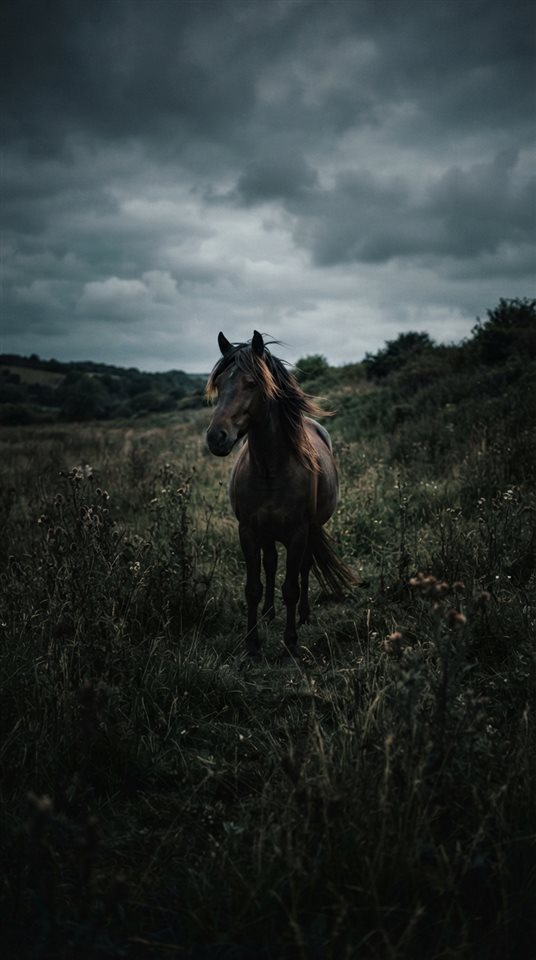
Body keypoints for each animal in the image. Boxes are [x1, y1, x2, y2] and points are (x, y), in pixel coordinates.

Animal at [206, 330, 356, 659]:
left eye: (252, 383)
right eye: (219, 383)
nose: (216, 437)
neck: (270, 470)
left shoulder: (299, 532)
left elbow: (291, 586)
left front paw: (290, 641)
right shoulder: (248, 531)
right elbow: (253, 587)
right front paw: (252, 643)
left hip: (309, 530)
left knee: (303, 569)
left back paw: (304, 614)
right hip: (268, 532)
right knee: (271, 563)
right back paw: (268, 612)